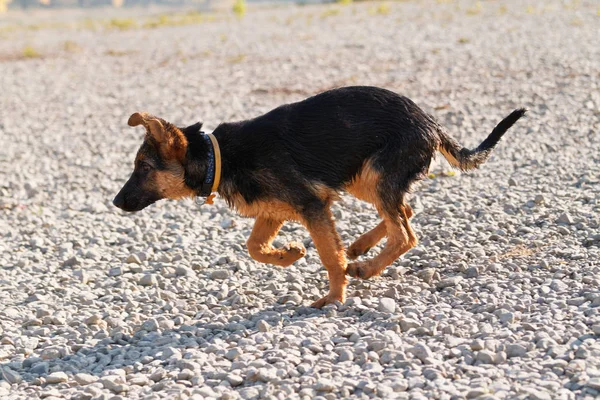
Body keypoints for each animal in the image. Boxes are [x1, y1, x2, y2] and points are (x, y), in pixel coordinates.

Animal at [113, 86, 524, 308]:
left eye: (143, 167)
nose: (115, 203)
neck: (219, 156)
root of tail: (431, 121)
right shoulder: (278, 210)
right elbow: (254, 247)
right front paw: (290, 254)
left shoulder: (311, 205)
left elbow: (329, 256)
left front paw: (335, 297)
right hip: (362, 177)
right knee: (403, 210)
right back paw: (359, 247)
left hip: (376, 175)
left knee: (406, 234)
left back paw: (363, 265)